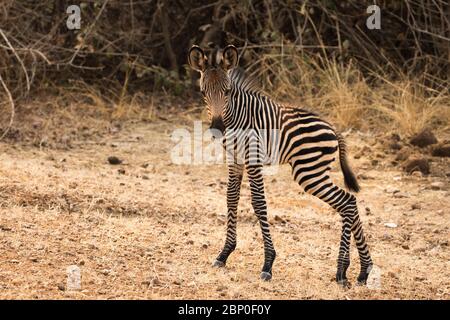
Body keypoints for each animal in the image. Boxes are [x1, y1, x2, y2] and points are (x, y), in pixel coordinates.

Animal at [186, 43, 372, 286]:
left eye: (227, 92)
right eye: (203, 92)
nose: (217, 128)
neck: (236, 117)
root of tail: (334, 130)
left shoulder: (253, 159)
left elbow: (258, 203)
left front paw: (268, 264)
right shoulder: (235, 160)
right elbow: (231, 199)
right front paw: (225, 253)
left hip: (309, 172)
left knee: (347, 201)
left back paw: (344, 270)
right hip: (313, 172)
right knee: (348, 204)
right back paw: (361, 270)